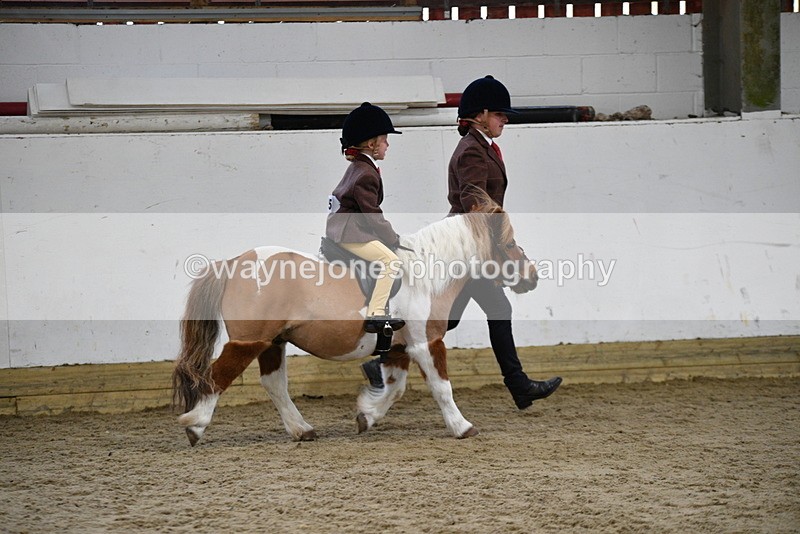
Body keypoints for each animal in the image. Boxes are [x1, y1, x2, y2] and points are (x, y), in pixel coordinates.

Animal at [172, 197, 538, 445]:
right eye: (508, 243)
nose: (532, 276)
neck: (425, 274)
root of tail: (233, 263)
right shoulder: (425, 343)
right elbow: (442, 388)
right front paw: (462, 426)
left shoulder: (398, 347)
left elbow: (395, 388)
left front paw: (366, 416)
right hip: (248, 342)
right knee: (216, 377)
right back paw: (195, 425)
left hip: (272, 342)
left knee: (274, 385)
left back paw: (302, 430)